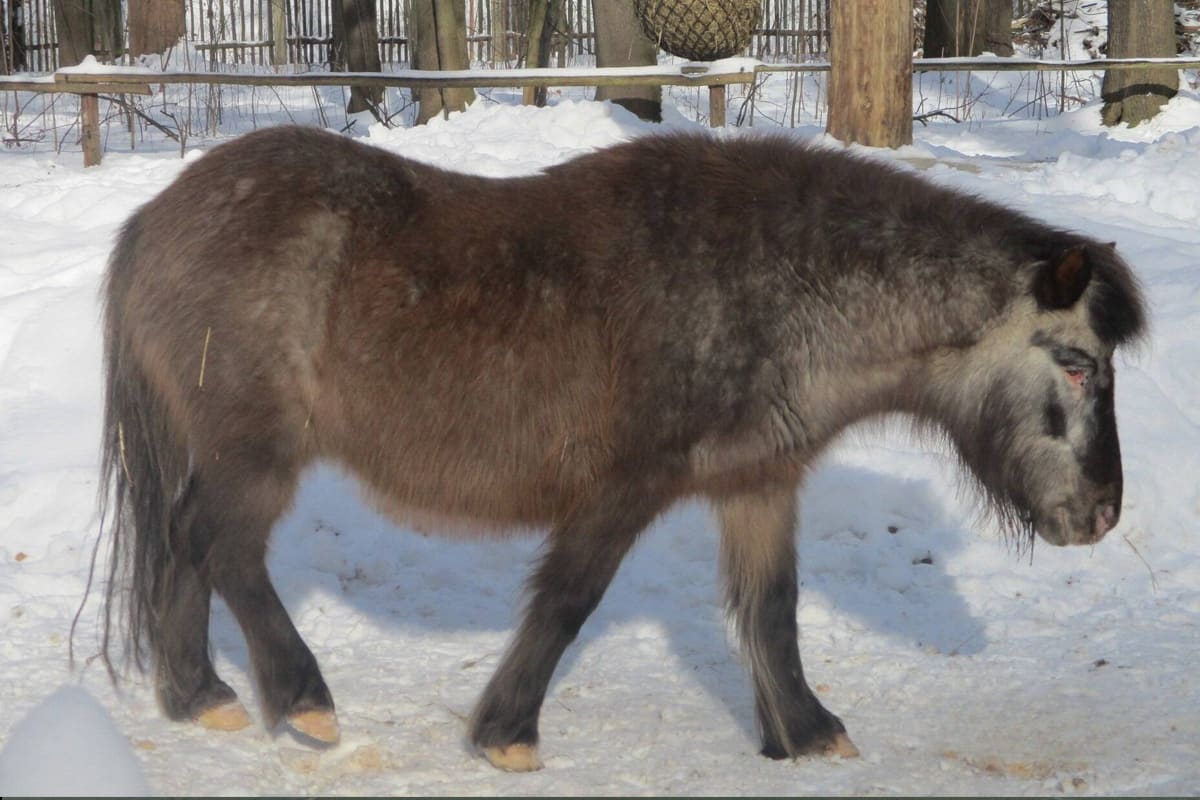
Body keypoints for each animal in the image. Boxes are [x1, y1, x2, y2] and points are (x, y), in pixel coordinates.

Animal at [97, 125, 1146, 771]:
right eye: (1079, 367)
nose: (1101, 516)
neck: (771, 286)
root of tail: (156, 216)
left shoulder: (759, 484)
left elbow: (772, 613)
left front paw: (804, 734)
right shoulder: (623, 488)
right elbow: (568, 601)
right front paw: (507, 733)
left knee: (183, 543)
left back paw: (199, 696)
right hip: (257, 450)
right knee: (225, 547)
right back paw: (299, 698)